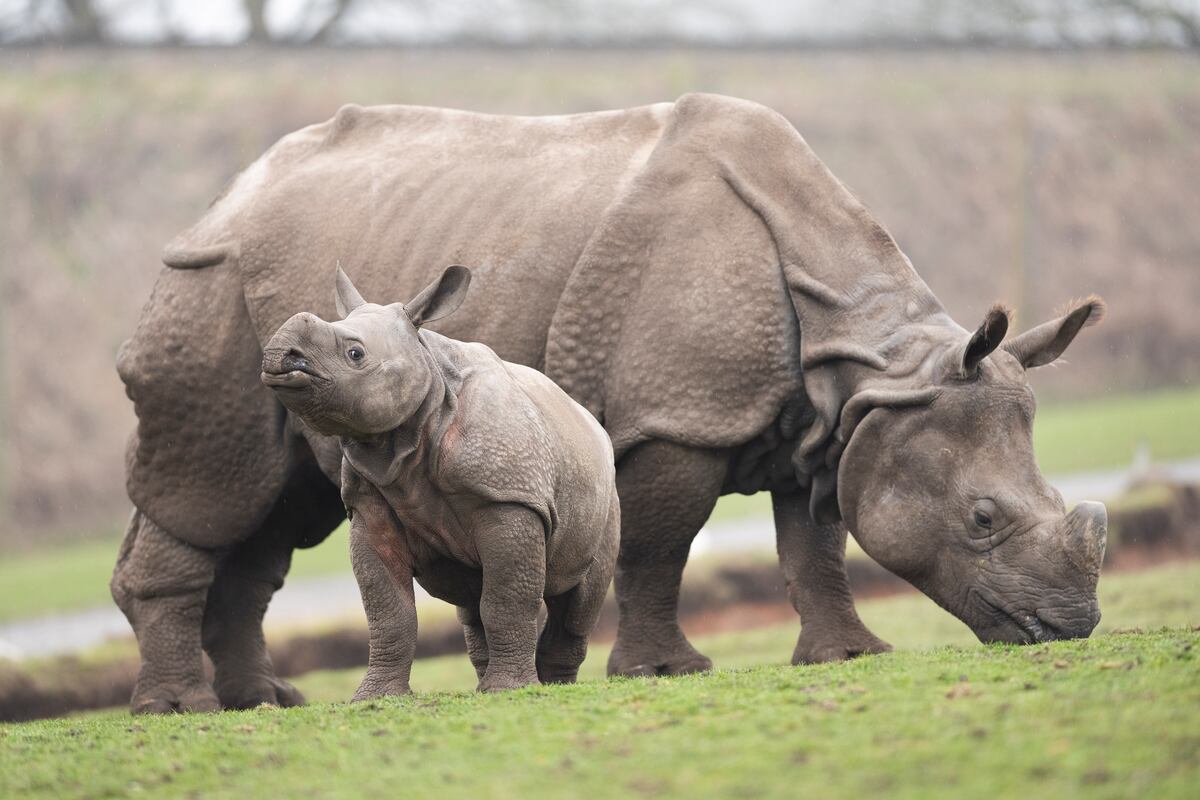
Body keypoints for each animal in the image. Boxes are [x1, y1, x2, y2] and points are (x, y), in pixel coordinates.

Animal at [261, 267, 619, 695]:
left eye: (355, 354)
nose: (279, 357)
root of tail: (587, 418)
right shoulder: (368, 504)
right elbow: (388, 610)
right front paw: (375, 696)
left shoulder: (508, 496)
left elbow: (506, 599)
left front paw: (510, 690)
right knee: (473, 601)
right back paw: (494, 686)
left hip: (605, 491)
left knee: (577, 598)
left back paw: (549, 687)